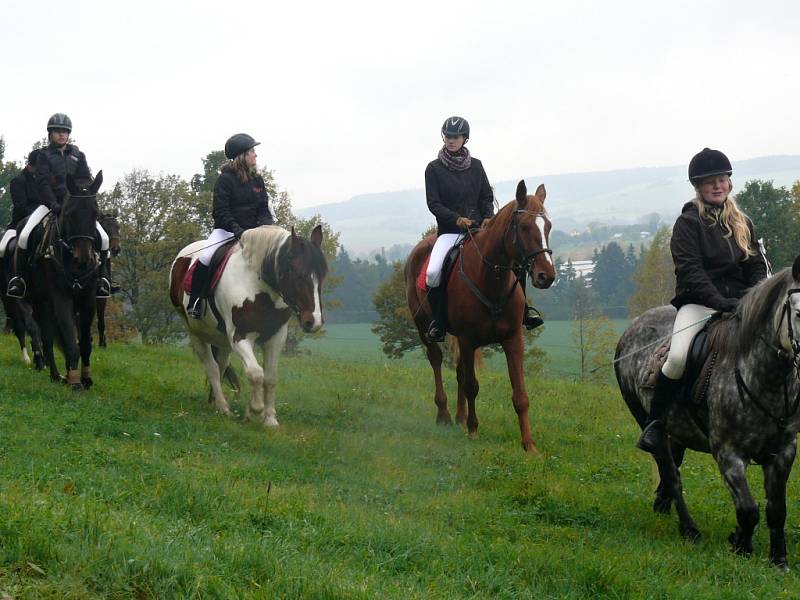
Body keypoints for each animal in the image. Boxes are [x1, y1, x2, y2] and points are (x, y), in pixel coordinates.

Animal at [27, 173, 104, 390]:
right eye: (70, 213)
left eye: (96, 214)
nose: (83, 259)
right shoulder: (61, 298)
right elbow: (70, 341)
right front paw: (76, 382)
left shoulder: (87, 299)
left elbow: (84, 343)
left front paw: (85, 378)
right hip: (41, 302)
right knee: (46, 337)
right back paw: (56, 375)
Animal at [170, 225, 326, 426]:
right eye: (297, 273)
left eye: (322, 275)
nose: (313, 322)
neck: (258, 288)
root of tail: (182, 256)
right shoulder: (240, 337)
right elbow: (256, 373)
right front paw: (255, 409)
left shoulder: (276, 337)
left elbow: (270, 377)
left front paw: (270, 419)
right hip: (195, 333)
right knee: (212, 368)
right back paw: (223, 408)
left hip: (221, 340)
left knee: (221, 365)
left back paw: (215, 403)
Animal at [406, 180, 556, 452]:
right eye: (524, 226)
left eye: (547, 226)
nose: (546, 276)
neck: (491, 279)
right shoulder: (468, 340)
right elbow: (472, 386)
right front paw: (474, 431)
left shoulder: (512, 339)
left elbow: (520, 394)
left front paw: (529, 445)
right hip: (423, 327)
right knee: (436, 360)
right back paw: (444, 415)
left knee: (459, 370)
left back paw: (459, 417)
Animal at [616, 256, 800, 568]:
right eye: (798, 313)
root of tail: (634, 327)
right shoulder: (728, 454)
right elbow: (749, 509)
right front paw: (741, 547)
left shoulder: (783, 452)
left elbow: (777, 510)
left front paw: (778, 560)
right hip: (648, 422)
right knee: (671, 474)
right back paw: (689, 529)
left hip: (676, 433)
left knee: (671, 470)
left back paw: (662, 506)